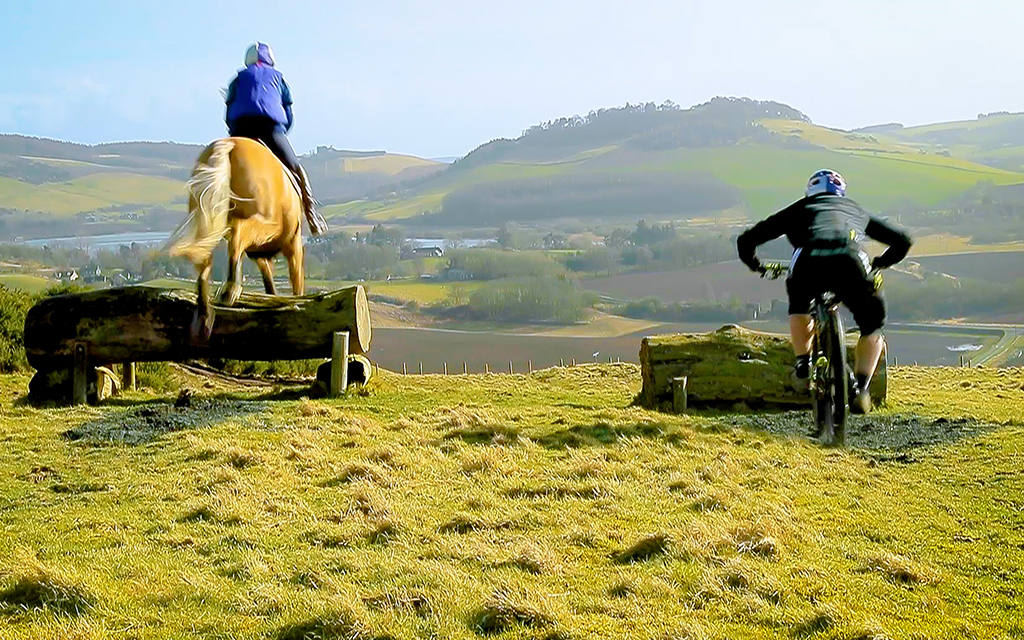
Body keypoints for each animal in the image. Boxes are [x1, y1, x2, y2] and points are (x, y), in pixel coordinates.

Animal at [164, 136, 323, 339]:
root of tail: (229, 144)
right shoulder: (292, 244)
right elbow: (296, 280)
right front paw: (297, 303)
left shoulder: (259, 254)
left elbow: (269, 281)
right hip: (264, 222)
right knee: (238, 232)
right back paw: (231, 289)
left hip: (204, 218)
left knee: (205, 259)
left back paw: (204, 315)